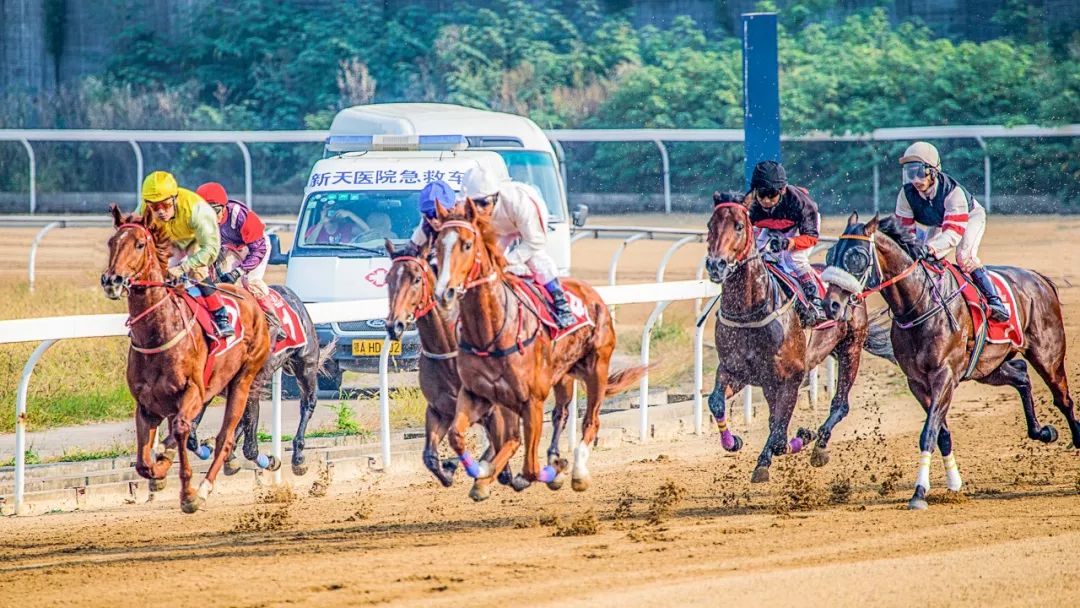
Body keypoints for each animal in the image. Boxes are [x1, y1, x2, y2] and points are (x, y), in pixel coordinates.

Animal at [101, 206, 272, 514]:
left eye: (140, 244)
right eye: (111, 243)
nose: (112, 281)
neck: (157, 334)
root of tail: (250, 299)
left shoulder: (192, 390)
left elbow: (181, 430)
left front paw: (189, 494)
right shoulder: (146, 405)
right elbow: (143, 463)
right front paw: (158, 472)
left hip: (242, 380)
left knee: (225, 438)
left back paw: (204, 488)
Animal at [384, 240, 578, 488]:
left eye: (417, 279)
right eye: (388, 279)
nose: (394, 325)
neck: (448, 351)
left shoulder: (494, 409)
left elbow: (501, 449)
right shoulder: (439, 410)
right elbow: (430, 457)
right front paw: (449, 469)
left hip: (563, 376)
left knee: (559, 413)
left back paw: (552, 460)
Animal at [432, 201, 648, 501]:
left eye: (466, 244)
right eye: (438, 245)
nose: (444, 293)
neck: (490, 333)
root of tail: (592, 293)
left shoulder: (531, 401)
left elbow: (531, 468)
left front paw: (550, 472)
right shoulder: (477, 393)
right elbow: (457, 436)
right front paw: (482, 475)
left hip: (597, 368)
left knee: (590, 421)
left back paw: (577, 471)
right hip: (563, 376)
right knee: (558, 415)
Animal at [820, 213, 1075, 509]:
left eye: (857, 257)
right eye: (830, 254)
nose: (831, 305)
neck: (919, 306)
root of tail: (1039, 278)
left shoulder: (944, 376)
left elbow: (928, 432)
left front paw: (919, 492)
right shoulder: (917, 382)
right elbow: (940, 433)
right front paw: (953, 483)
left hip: (1047, 355)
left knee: (1063, 398)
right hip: (987, 368)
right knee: (1022, 375)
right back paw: (1042, 431)